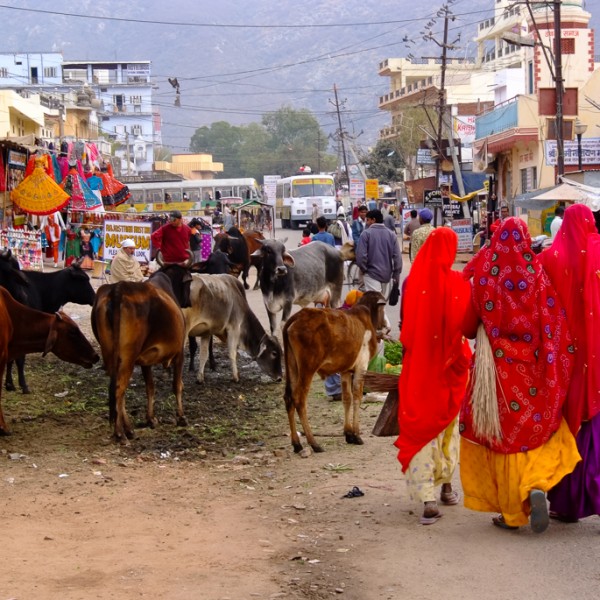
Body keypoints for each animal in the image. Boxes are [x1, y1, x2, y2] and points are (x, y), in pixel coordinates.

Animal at [90, 276, 185, 440]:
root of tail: (118, 287)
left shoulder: (145, 361)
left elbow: (150, 387)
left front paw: (151, 419)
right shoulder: (180, 353)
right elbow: (177, 386)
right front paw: (181, 417)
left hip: (111, 355)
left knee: (117, 390)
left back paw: (127, 429)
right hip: (128, 356)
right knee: (119, 389)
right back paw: (121, 433)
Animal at [282, 292, 384, 454]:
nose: (386, 327)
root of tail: (297, 317)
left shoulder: (345, 371)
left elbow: (347, 399)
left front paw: (349, 434)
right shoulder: (361, 367)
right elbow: (357, 397)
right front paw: (356, 435)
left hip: (292, 365)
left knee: (288, 398)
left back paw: (297, 444)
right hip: (308, 368)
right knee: (299, 400)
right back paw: (314, 443)